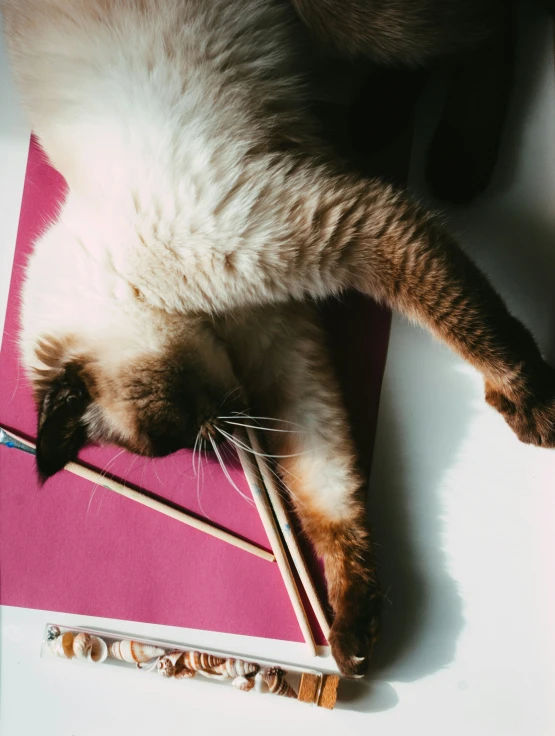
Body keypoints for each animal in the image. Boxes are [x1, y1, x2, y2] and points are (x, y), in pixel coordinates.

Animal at [2, 1, 552, 680]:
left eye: (170, 433)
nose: (218, 430)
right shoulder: (284, 349)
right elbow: (327, 490)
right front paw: (352, 633)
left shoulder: (343, 226)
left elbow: (467, 321)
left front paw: (530, 401)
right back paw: (379, 119)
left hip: (353, 20)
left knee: (497, 28)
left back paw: (456, 160)